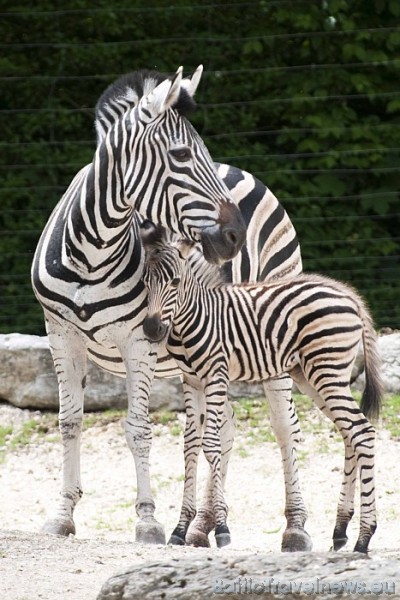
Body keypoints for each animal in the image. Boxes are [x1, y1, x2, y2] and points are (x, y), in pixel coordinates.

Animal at [32, 65, 247, 544]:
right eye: (182, 154)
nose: (235, 237)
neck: (90, 251)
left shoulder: (138, 340)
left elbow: (138, 428)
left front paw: (147, 519)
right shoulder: (60, 335)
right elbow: (69, 421)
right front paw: (62, 513)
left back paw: (284, 529)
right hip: (204, 361)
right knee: (214, 428)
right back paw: (201, 526)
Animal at [142, 227, 382, 556]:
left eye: (175, 282)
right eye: (145, 282)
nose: (151, 330)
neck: (195, 317)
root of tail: (348, 294)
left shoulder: (216, 376)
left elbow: (211, 444)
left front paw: (222, 529)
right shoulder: (191, 381)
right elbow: (190, 445)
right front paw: (180, 529)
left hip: (327, 372)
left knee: (362, 431)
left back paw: (363, 538)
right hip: (314, 376)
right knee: (350, 434)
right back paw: (340, 531)